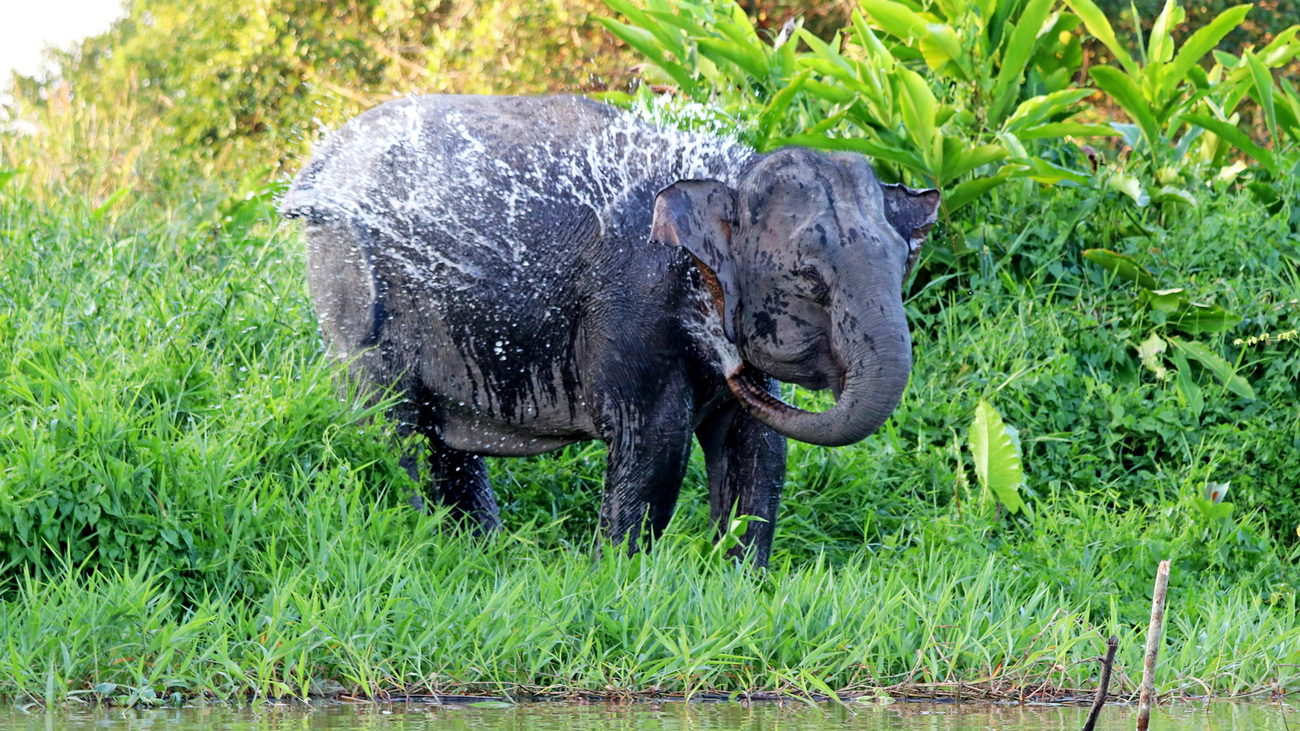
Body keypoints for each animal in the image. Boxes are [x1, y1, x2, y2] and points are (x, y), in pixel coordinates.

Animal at [279, 95, 941, 564]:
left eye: (903, 261)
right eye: (807, 275)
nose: (732, 366)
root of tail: (321, 162)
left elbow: (758, 449)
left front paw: (738, 586)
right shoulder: (633, 307)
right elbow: (653, 444)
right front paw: (616, 581)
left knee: (445, 447)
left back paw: (481, 555)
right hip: (352, 283)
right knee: (399, 429)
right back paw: (434, 543)